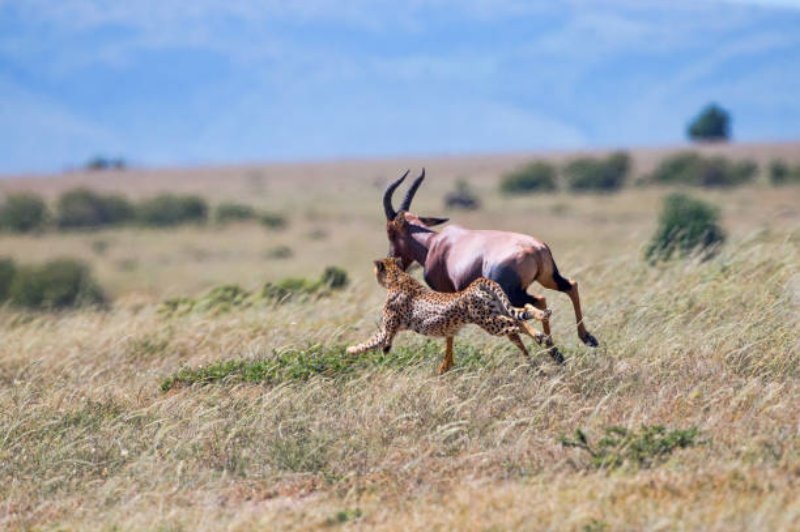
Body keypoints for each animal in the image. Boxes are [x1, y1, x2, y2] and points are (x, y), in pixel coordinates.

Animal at [346, 258, 560, 374]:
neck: (397, 277)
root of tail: (477, 282)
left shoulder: (389, 328)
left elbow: (377, 341)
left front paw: (355, 349)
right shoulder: (388, 329)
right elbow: (371, 342)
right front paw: (351, 350)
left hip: (488, 322)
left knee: (515, 322)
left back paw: (538, 334)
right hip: (497, 311)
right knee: (522, 312)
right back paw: (541, 326)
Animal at [382, 169, 600, 366]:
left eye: (390, 231)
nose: (392, 259)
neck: (437, 244)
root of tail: (535, 249)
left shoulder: (448, 293)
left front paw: (445, 367)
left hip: (512, 293)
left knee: (534, 305)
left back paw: (552, 345)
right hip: (547, 279)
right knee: (565, 288)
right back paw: (578, 342)